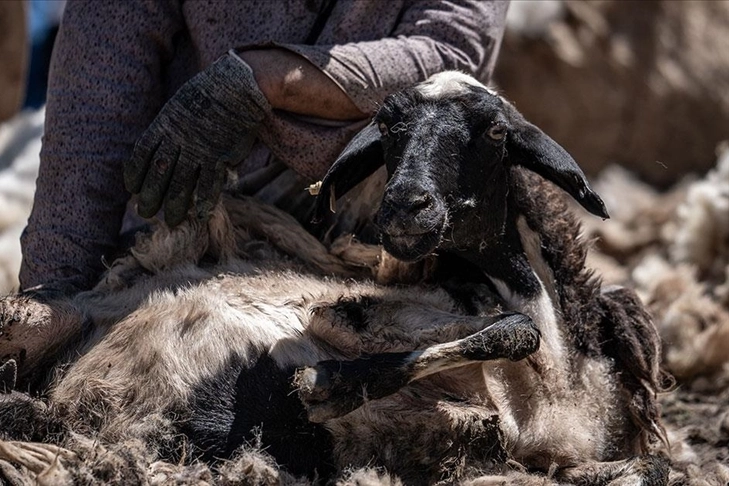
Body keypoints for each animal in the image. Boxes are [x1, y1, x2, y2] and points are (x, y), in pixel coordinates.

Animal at [0, 70, 664, 484]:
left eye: (497, 131)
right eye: (389, 126)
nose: (406, 205)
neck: (557, 372)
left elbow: (644, 465)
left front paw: (330, 384)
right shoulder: (362, 313)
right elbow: (507, 328)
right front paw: (329, 382)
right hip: (35, 315)